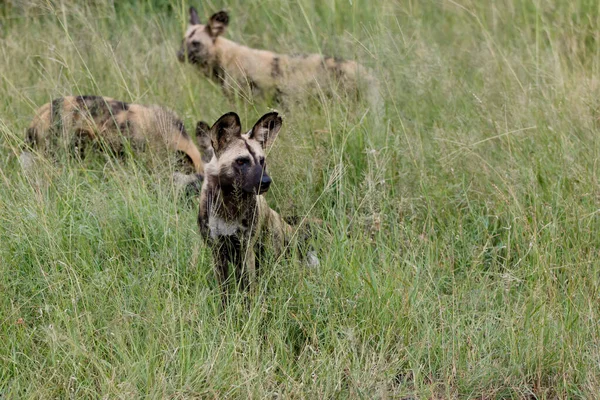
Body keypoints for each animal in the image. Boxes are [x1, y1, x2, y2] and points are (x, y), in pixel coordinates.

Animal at [199, 111, 316, 302]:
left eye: (262, 161)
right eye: (241, 161)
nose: (266, 182)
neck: (228, 206)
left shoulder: (246, 251)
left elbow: (248, 293)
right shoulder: (217, 251)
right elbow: (225, 293)